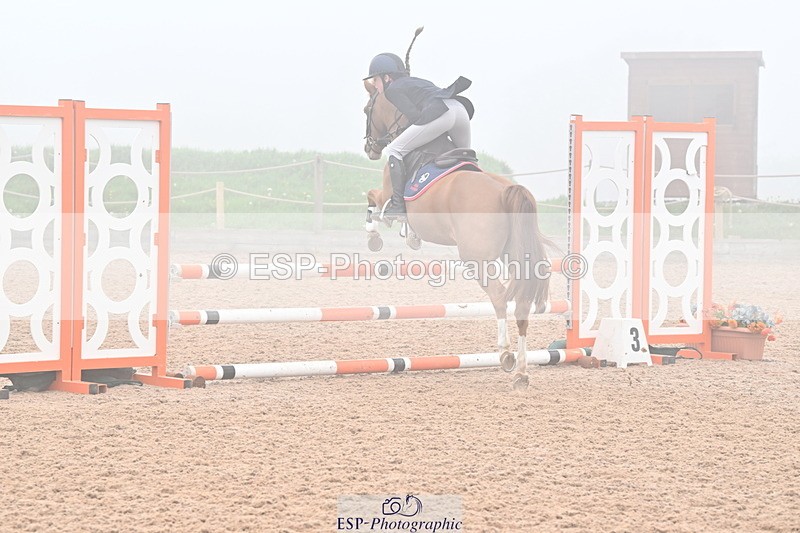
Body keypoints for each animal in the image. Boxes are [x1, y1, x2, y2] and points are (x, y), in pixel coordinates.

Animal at [362, 80, 556, 390]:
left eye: (367, 109)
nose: (370, 148)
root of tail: (505, 190)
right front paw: (411, 237)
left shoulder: (386, 195)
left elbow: (373, 202)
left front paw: (374, 237)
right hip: (514, 256)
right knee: (522, 306)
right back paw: (522, 373)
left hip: (477, 260)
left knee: (500, 297)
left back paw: (505, 354)